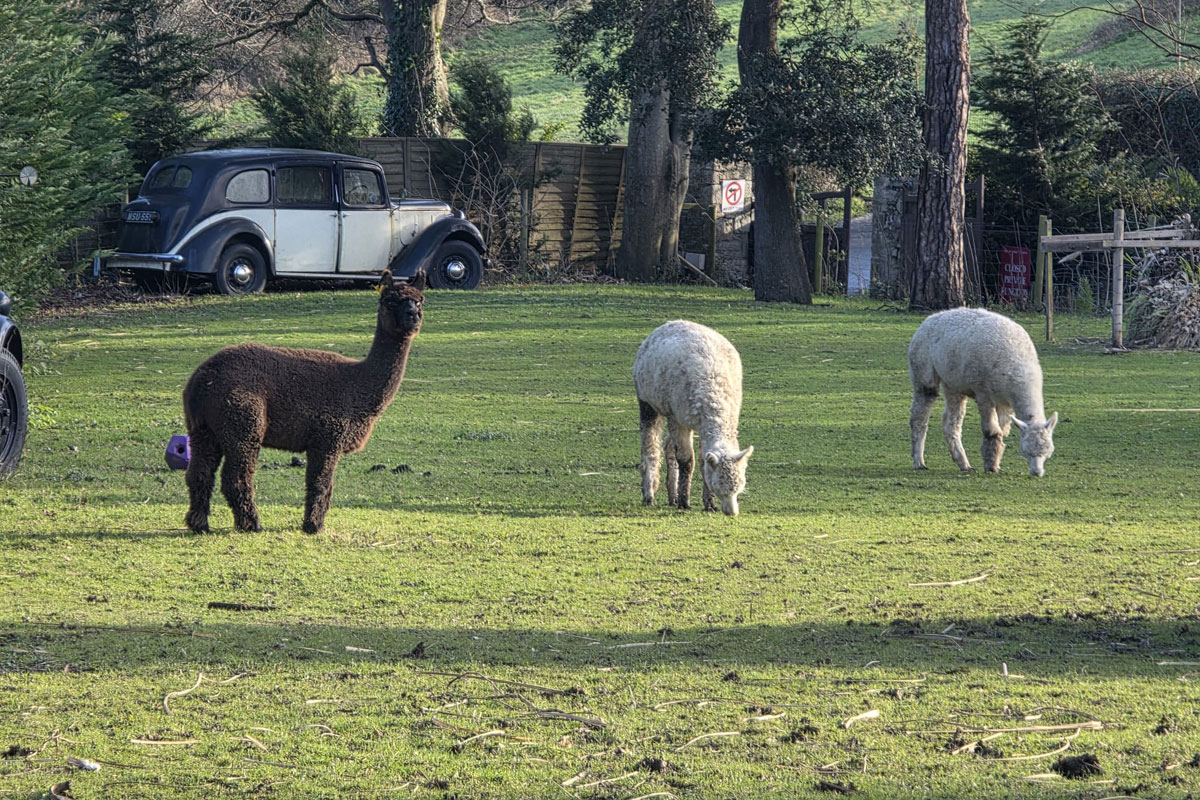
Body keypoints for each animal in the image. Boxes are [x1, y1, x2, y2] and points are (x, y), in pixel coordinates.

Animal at [182, 270, 425, 534]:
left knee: (199, 473)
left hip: (203, 429)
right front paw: (313, 525)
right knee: (235, 477)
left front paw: (314, 523)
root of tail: (202, 379)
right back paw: (252, 524)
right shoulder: (327, 438)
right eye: (389, 301)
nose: (413, 315)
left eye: (420, 300)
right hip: (242, 422)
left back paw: (199, 524)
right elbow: (320, 483)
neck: (358, 386)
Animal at [633, 320, 754, 515]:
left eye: (740, 487)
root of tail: (671, 323)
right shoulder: (677, 417)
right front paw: (685, 502)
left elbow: (702, 460)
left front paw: (709, 504)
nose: (732, 512)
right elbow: (687, 460)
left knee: (667, 445)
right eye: (718, 487)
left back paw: (672, 496)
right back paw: (649, 494)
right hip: (648, 401)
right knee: (650, 445)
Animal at [908, 307, 1058, 477]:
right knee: (919, 415)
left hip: (953, 382)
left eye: (1048, 452)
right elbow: (991, 431)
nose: (1037, 472)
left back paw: (964, 464)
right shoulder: (984, 393)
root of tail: (930, 319)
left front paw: (996, 463)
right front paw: (991, 466)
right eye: (1027, 452)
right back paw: (919, 462)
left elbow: (1002, 432)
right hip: (923, 368)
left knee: (950, 422)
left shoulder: (1005, 403)